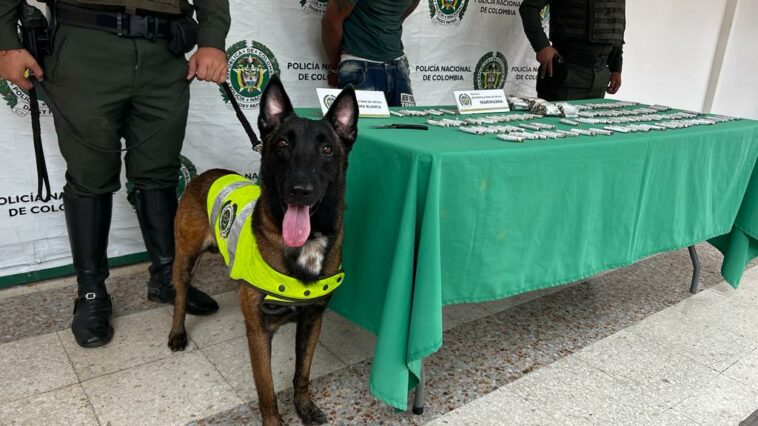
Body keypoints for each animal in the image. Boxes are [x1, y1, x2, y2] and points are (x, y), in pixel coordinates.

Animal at [169, 76, 360, 426]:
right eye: (283, 144)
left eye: (327, 148)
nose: (300, 191)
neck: (306, 243)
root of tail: (207, 173)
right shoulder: (259, 332)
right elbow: (266, 389)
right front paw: (274, 419)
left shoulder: (312, 321)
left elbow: (302, 372)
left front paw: (304, 406)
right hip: (184, 258)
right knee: (179, 295)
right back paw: (177, 332)